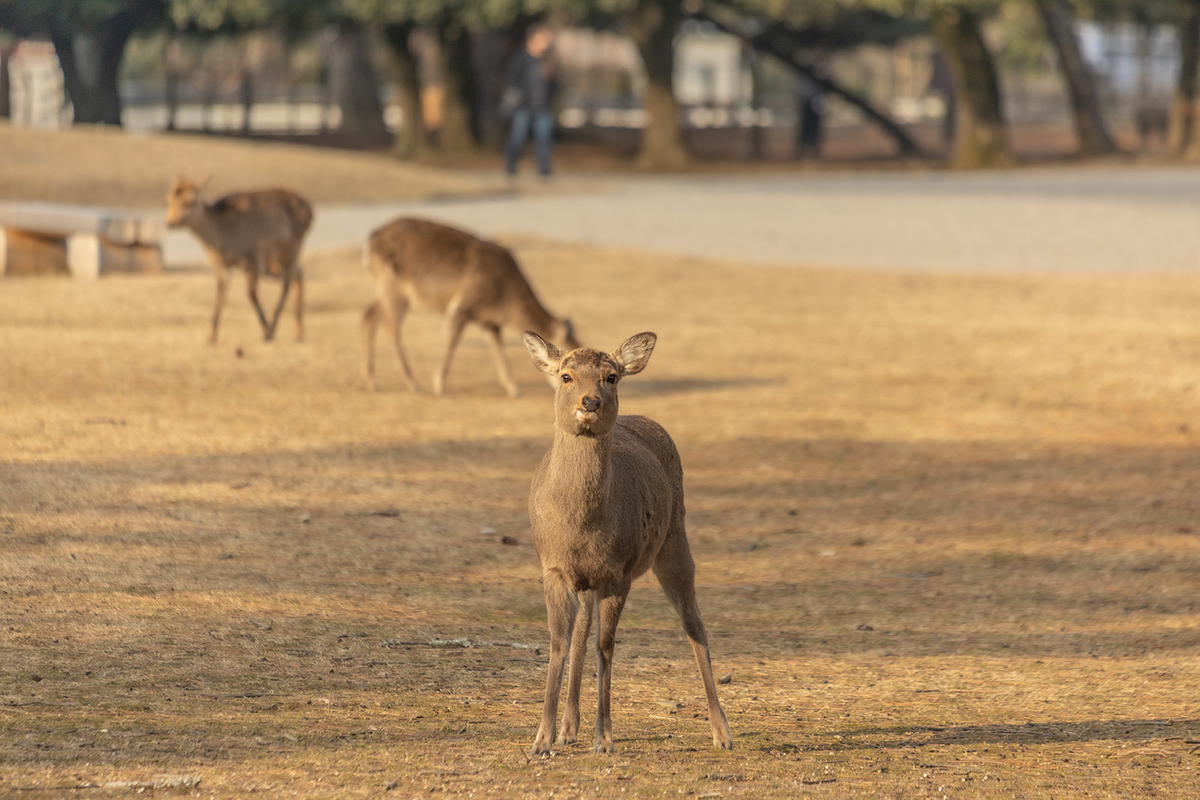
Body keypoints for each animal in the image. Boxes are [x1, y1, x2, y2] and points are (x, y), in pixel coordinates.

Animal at [169, 176, 319, 343]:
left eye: (189, 202)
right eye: (169, 200)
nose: (170, 222)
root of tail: (311, 211)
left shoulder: (253, 255)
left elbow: (251, 293)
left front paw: (266, 330)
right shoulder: (222, 263)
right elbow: (220, 294)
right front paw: (211, 336)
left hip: (292, 246)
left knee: (287, 281)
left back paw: (274, 329)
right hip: (277, 257)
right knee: (298, 273)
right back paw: (298, 332)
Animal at [360, 217, 580, 395]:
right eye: (565, 369)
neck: (506, 302)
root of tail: (371, 240)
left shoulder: (488, 320)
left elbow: (496, 346)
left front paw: (514, 388)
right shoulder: (462, 306)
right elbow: (451, 341)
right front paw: (439, 386)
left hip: (389, 291)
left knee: (369, 315)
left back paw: (372, 382)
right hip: (393, 288)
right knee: (391, 327)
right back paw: (413, 384)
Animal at [523, 331, 729, 758]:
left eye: (612, 376)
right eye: (566, 375)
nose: (590, 402)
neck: (580, 526)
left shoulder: (618, 571)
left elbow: (607, 645)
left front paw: (604, 739)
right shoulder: (553, 567)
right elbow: (559, 641)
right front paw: (542, 739)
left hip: (675, 539)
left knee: (694, 621)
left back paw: (722, 732)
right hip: (591, 579)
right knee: (583, 626)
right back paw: (569, 727)